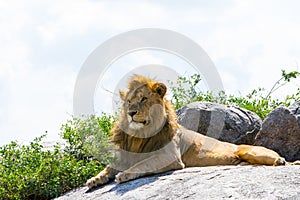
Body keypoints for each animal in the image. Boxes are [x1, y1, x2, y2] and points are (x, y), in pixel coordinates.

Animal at [86, 75, 298, 189]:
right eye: (129, 102)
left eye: (143, 99)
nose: (131, 113)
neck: (140, 135)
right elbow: (109, 168)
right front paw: (95, 179)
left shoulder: (170, 157)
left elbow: (143, 164)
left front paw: (124, 175)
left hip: (250, 151)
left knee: (286, 162)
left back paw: (280, 161)